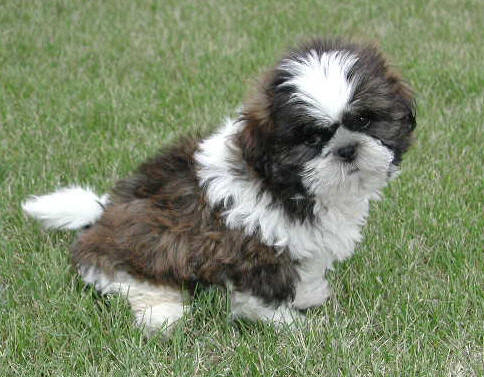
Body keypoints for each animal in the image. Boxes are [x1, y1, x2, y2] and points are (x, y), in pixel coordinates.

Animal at [22, 38, 416, 334]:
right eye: (312, 139)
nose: (347, 149)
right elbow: (259, 293)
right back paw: (162, 312)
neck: (285, 183)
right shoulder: (251, 246)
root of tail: (102, 213)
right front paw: (287, 322)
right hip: (145, 244)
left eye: (363, 120)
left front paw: (308, 294)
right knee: (131, 280)